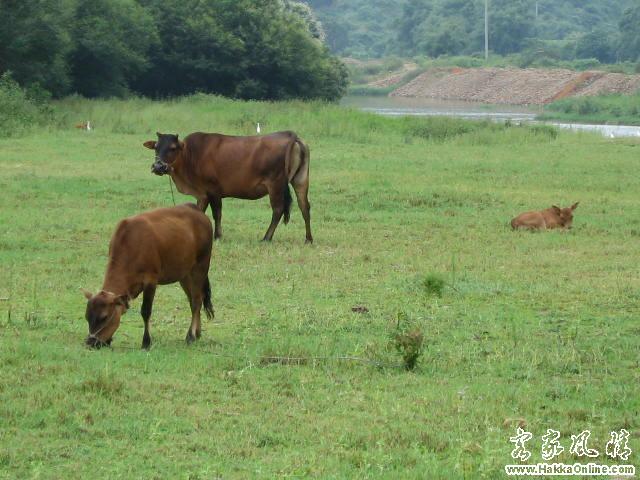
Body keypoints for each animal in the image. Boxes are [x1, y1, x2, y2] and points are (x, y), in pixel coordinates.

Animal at [81, 202, 212, 348]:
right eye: (87, 317)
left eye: (103, 317)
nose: (90, 342)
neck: (131, 245)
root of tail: (198, 212)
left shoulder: (151, 280)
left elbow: (146, 311)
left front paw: (146, 342)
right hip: (184, 274)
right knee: (193, 299)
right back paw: (198, 332)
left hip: (201, 265)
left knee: (196, 300)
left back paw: (191, 336)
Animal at [142, 130, 312, 244]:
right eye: (156, 147)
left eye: (172, 148)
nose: (158, 166)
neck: (190, 156)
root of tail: (291, 136)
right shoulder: (205, 193)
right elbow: (202, 212)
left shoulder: (212, 190)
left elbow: (216, 213)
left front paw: (217, 236)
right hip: (300, 180)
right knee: (304, 206)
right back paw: (308, 239)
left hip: (275, 184)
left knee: (278, 209)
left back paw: (266, 238)